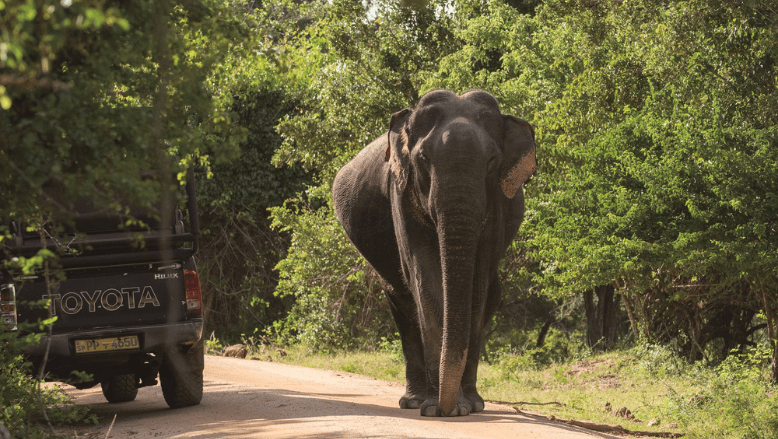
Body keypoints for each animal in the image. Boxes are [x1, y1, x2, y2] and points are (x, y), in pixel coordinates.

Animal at [330, 88, 536, 416]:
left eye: (492, 160)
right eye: (423, 159)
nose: (445, 408)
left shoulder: (497, 205)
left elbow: (477, 287)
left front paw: (462, 408)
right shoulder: (402, 193)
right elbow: (425, 278)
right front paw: (434, 409)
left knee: (490, 296)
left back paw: (474, 403)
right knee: (402, 302)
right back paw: (414, 401)